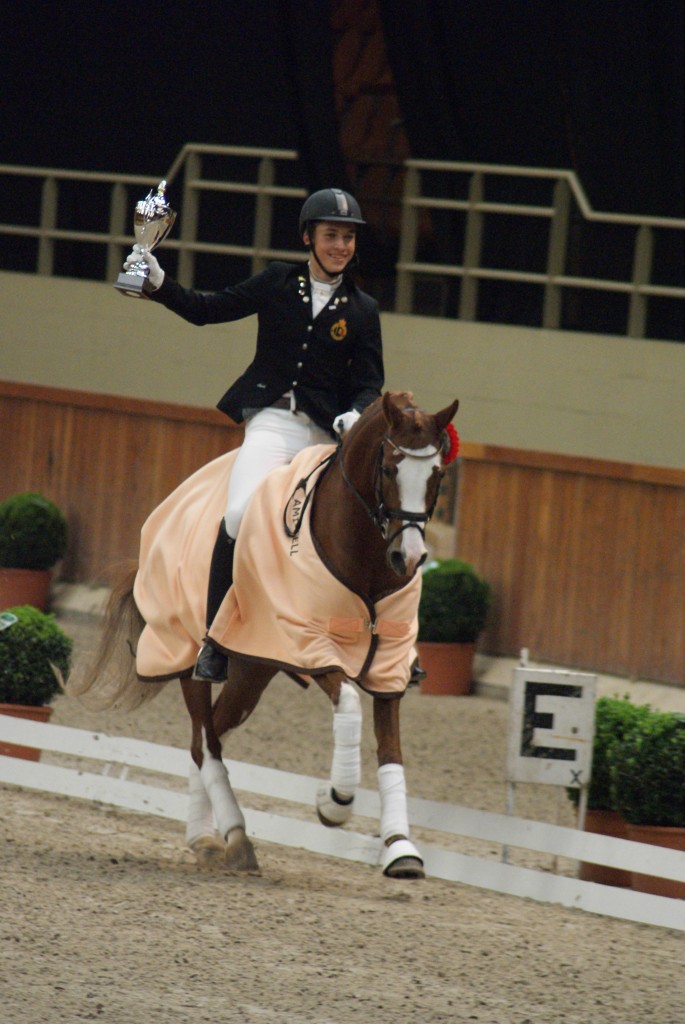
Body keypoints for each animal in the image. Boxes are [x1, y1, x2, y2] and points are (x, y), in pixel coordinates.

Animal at [69, 391, 456, 880]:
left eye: (437, 474)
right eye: (389, 469)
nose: (409, 557)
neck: (366, 561)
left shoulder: (390, 668)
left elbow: (392, 752)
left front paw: (400, 848)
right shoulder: (309, 646)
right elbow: (350, 706)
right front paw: (333, 802)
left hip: (252, 671)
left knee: (208, 736)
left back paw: (205, 838)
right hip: (189, 658)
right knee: (204, 741)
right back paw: (234, 835)